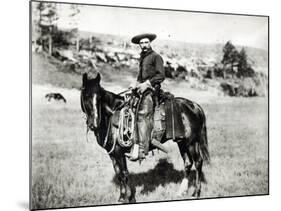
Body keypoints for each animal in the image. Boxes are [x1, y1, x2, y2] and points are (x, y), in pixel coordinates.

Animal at [80, 72, 209, 203]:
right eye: (85, 96)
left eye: (99, 97)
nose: (94, 124)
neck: (111, 116)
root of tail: (195, 106)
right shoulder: (112, 153)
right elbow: (119, 174)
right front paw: (121, 197)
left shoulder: (119, 151)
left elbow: (124, 174)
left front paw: (129, 198)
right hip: (181, 142)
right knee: (188, 162)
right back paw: (181, 191)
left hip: (192, 142)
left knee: (198, 162)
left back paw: (196, 193)